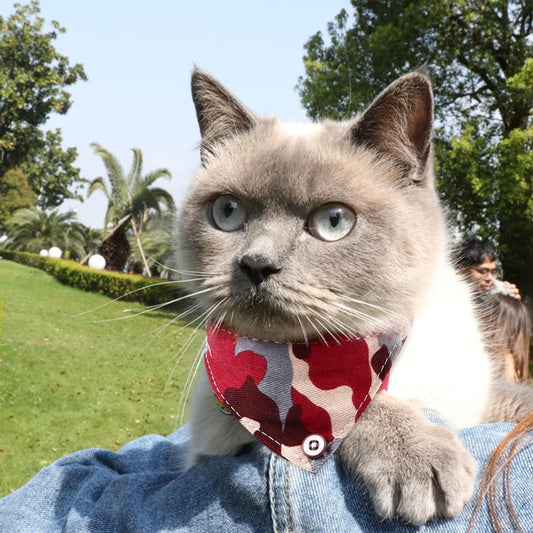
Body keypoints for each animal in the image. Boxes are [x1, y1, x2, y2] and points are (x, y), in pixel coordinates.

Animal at [178, 66, 532, 524]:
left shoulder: (481, 402)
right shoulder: (217, 446)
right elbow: (347, 410)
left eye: (333, 222)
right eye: (227, 212)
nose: (256, 264)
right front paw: (421, 460)